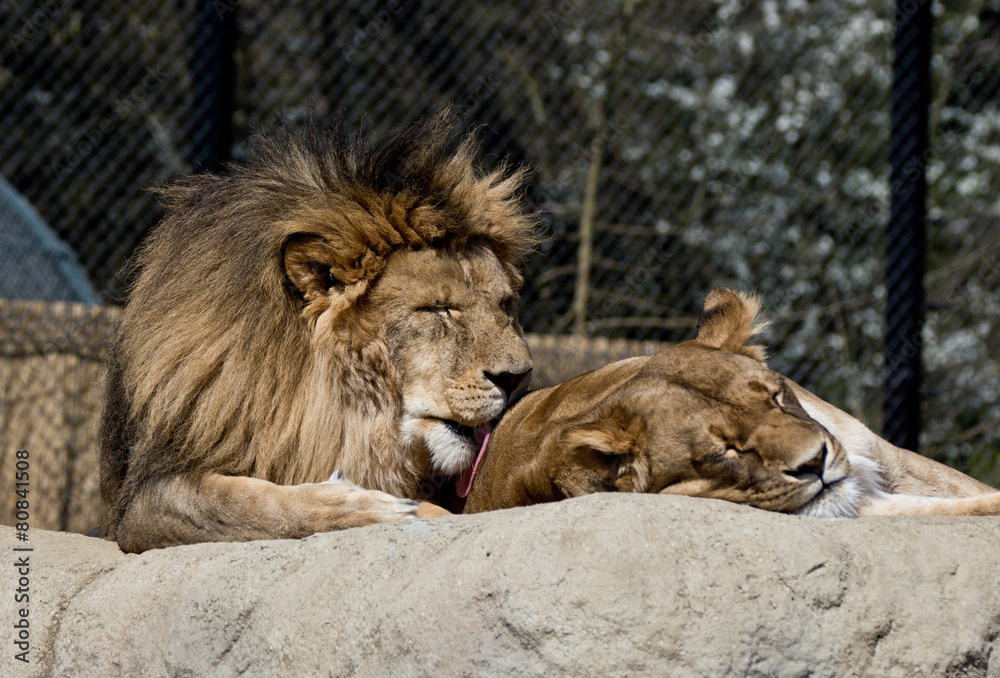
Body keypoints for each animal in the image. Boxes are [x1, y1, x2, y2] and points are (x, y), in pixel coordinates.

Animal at [99, 112, 539, 552]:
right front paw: (373, 507)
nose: (518, 378)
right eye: (438, 309)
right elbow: (250, 505)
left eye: (504, 305)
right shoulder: (141, 502)